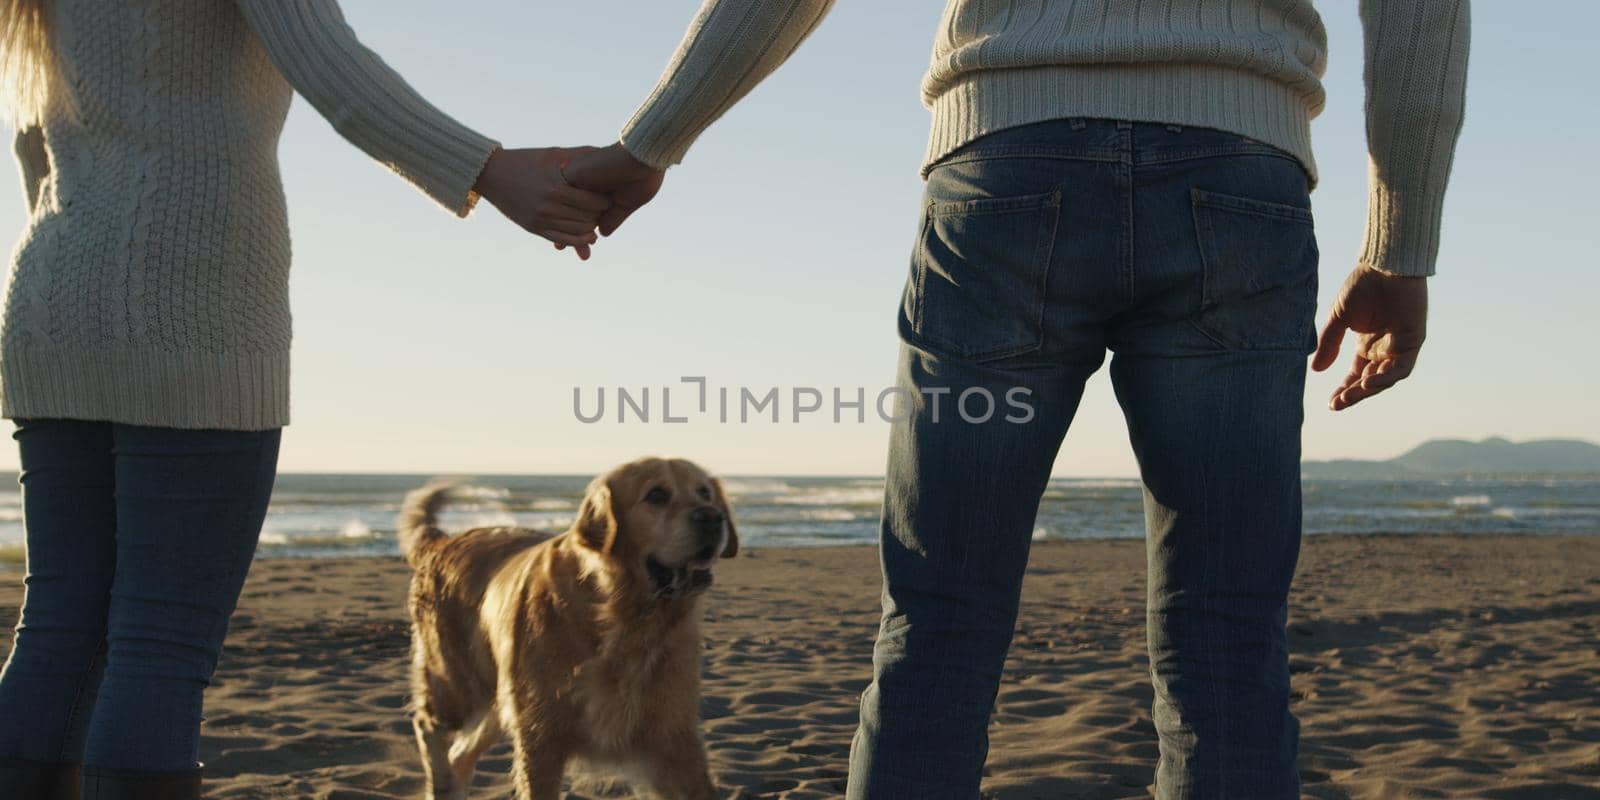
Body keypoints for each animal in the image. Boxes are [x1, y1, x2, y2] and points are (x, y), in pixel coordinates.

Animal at [396, 457, 732, 800]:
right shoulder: (540, 736)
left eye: (705, 492)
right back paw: (441, 780)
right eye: (656, 494)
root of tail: (444, 541)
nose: (712, 517)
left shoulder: (672, 735)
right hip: (456, 682)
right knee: (427, 725)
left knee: (459, 754)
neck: (621, 618)